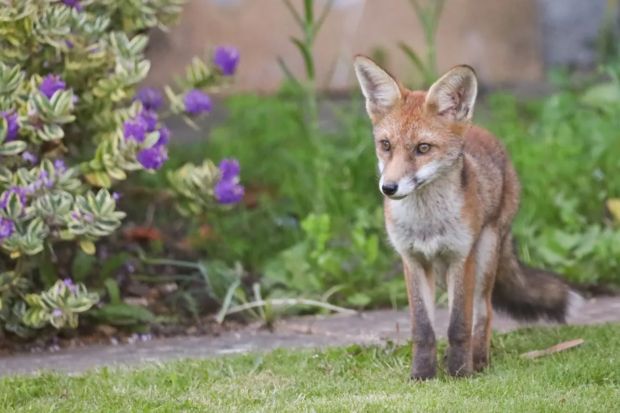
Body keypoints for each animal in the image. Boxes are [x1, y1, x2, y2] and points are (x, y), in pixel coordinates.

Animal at [354, 55, 580, 380]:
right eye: (386, 145)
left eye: (423, 148)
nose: (389, 188)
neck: (427, 224)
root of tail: (481, 131)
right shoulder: (412, 260)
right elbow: (423, 329)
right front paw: (422, 375)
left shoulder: (461, 256)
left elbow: (459, 324)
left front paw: (460, 372)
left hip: (484, 255)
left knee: (484, 311)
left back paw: (479, 361)